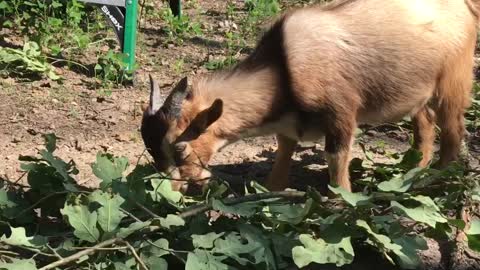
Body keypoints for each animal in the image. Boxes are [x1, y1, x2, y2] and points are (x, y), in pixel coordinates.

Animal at [141, 0, 478, 194]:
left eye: (180, 148)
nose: (172, 191)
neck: (283, 68)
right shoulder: (289, 126)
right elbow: (282, 156)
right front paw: (271, 193)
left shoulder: (341, 112)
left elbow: (336, 160)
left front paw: (342, 202)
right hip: (416, 90)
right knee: (425, 123)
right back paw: (413, 172)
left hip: (453, 79)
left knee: (453, 130)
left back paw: (436, 180)